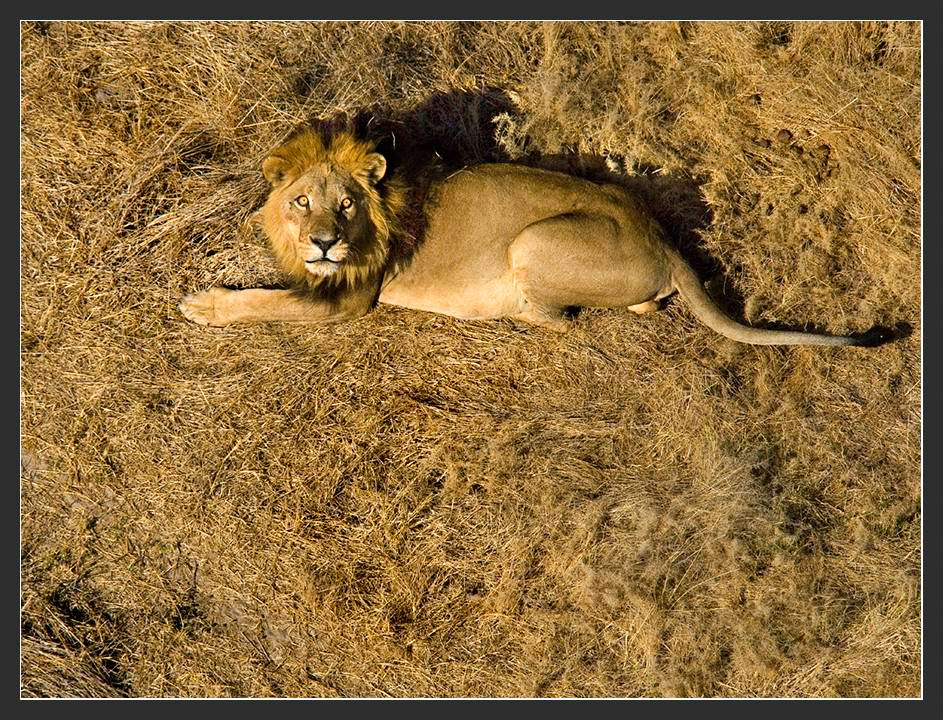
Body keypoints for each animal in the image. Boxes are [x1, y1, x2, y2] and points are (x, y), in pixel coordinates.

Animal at [179, 115, 889, 347]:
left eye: (347, 204)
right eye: (301, 202)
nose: (324, 240)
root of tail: (663, 239)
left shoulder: (350, 299)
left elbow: (268, 301)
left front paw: (203, 304)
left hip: (533, 240)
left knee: (560, 320)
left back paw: (506, 309)